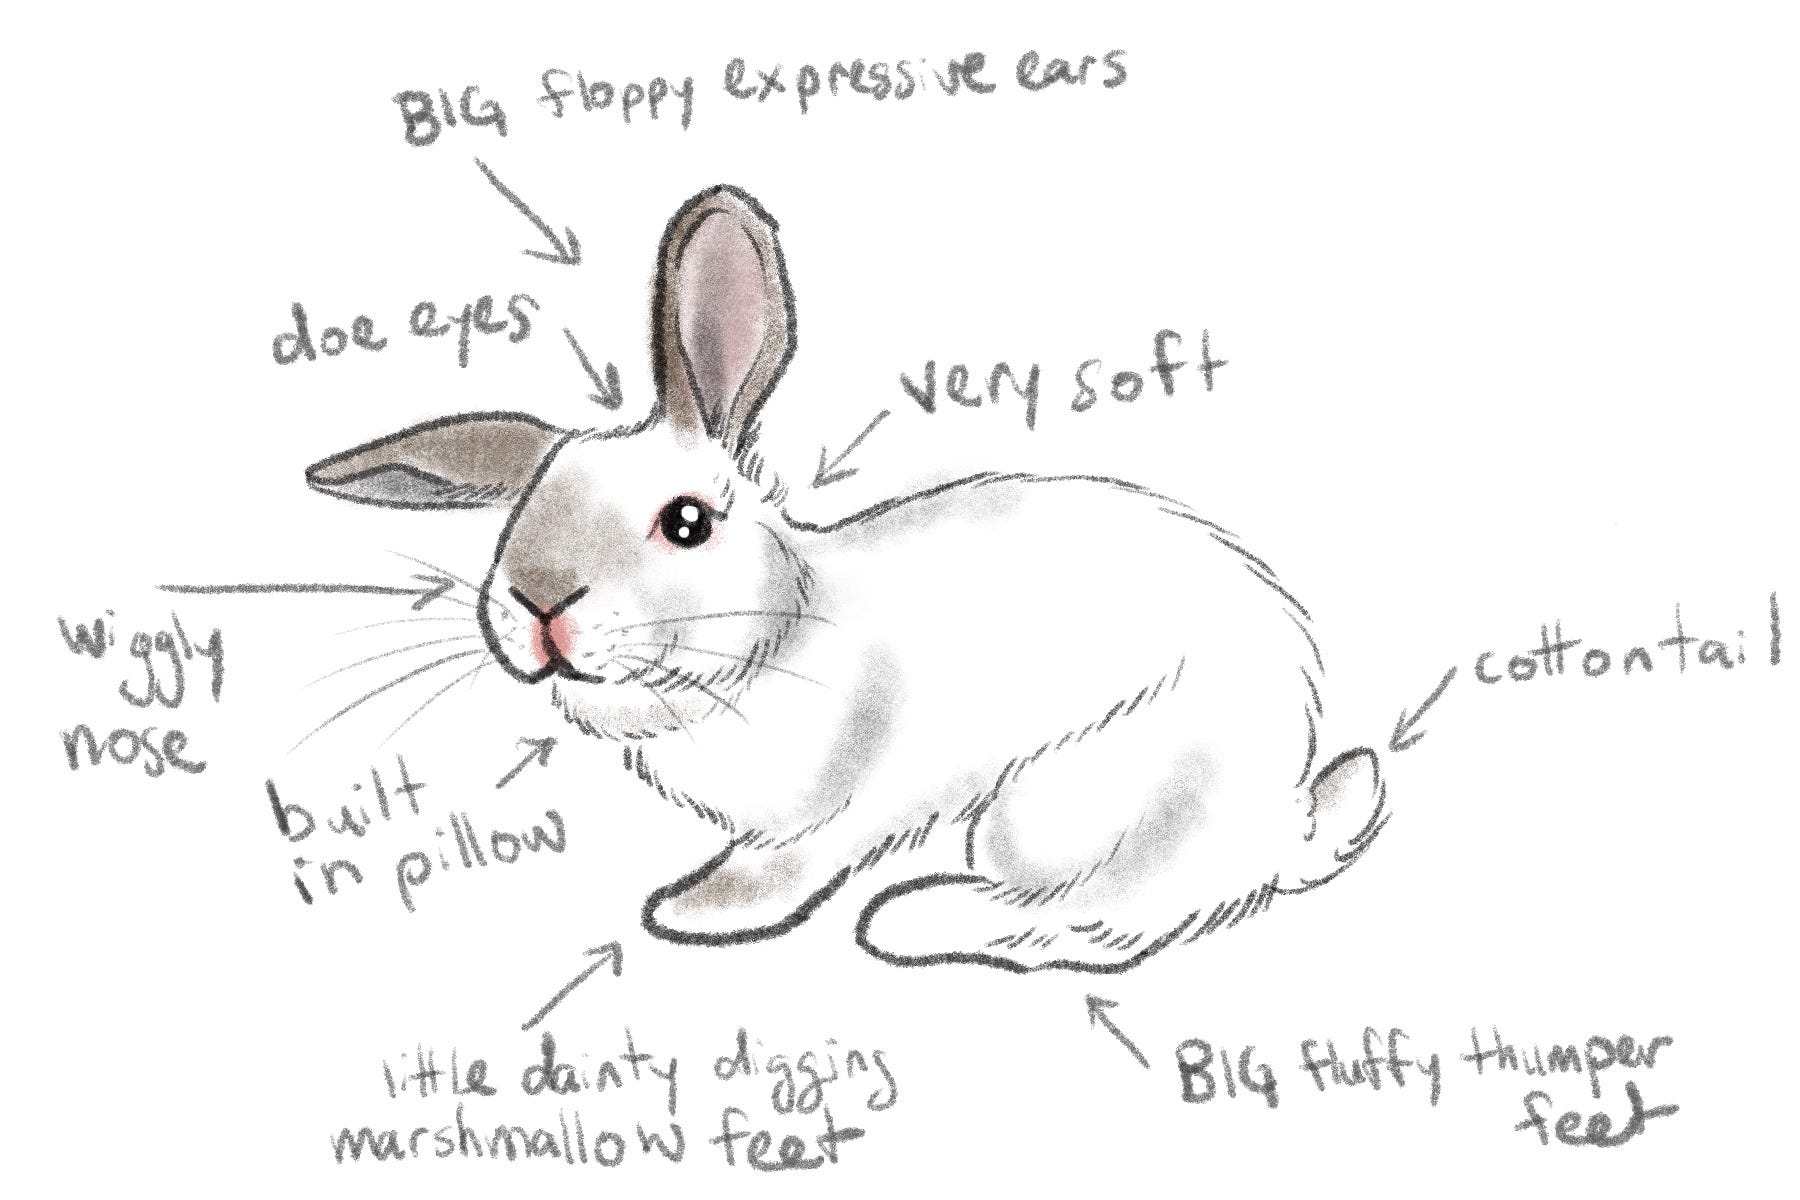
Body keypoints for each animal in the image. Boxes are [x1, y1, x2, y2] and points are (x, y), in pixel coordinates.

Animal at [304, 184, 1388, 973]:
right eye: (519, 519)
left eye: (687, 524)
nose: (539, 607)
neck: (777, 635)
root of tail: (1278, 821)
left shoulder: (846, 802)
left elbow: (789, 863)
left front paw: (698, 910)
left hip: (1053, 809)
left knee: (1104, 924)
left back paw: (912, 923)